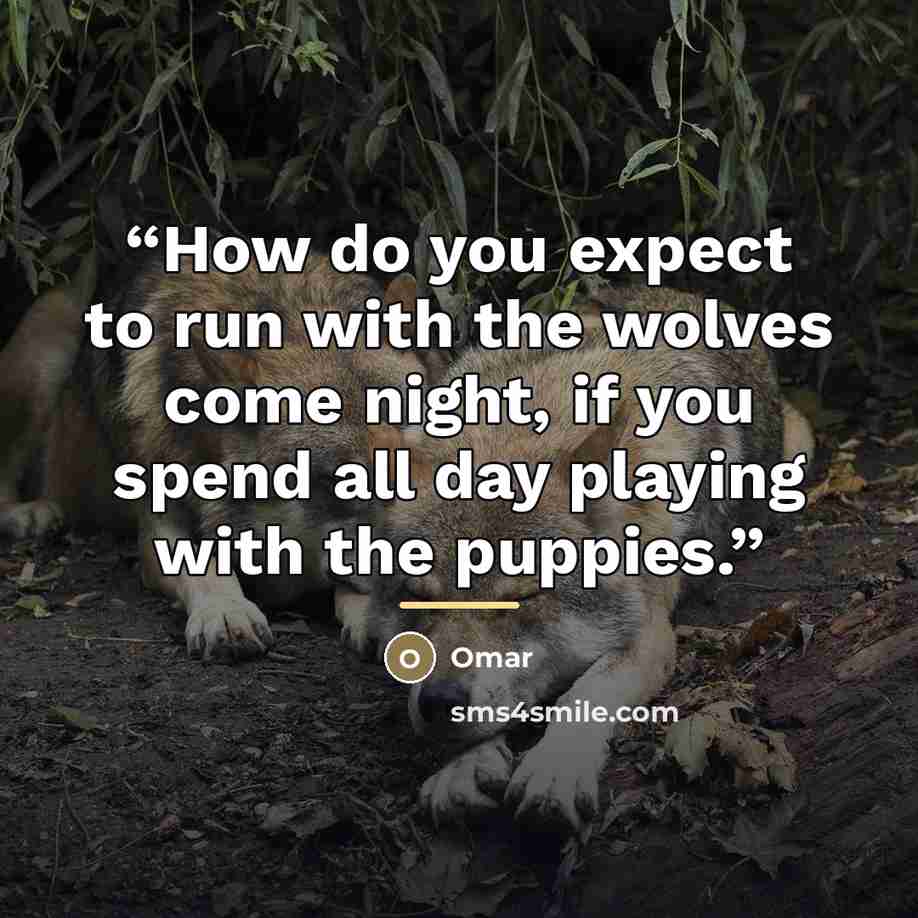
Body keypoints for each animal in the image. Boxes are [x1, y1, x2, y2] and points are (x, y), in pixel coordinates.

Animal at [0, 245, 446, 661]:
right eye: (345, 482)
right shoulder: (160, 530)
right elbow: (204, 567)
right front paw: (226, 612)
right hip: (44, 361)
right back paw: (29, 514)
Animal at [337, 278, 815, 836]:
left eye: (523, 597)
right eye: (416, 597)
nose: (440, 703)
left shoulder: (647, 634)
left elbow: (585, 694)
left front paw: (556, 769)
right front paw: (460, 769)